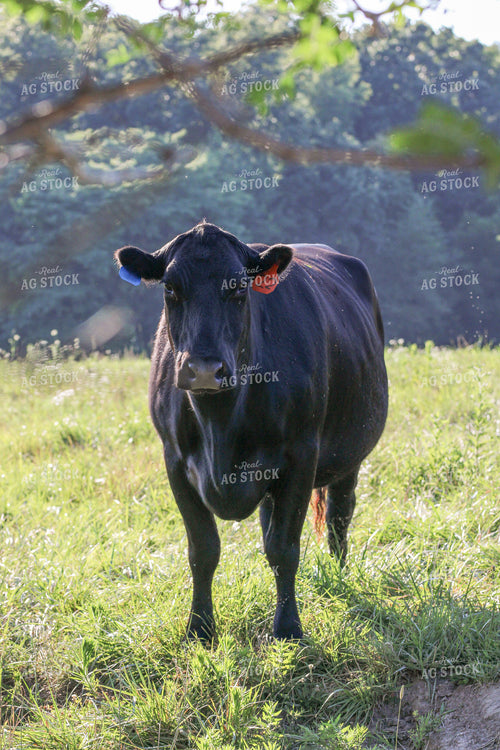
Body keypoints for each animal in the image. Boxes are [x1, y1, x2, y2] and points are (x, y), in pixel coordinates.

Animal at [115, 221, 388, 641]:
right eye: (170, 288)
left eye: (239, 288)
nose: (204, 368)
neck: (221, 425)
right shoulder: (174, 459)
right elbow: (203, 550)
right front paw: (199, 628)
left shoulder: (301, 454)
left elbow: (284, 549)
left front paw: (288, 628)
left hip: (351, 453)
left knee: (339, 516)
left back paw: (340, 575)